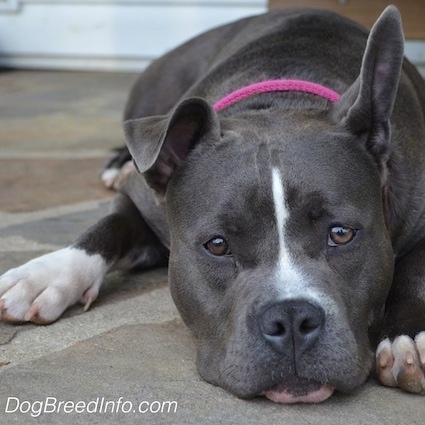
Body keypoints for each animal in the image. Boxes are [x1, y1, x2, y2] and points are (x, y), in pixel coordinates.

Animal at [0, 7, 424, 404]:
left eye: (342, 234)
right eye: (217, 245)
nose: (291, 317)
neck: (273, 102)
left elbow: (414, 272)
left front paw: (408, 335)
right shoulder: (140, 201)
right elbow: (108, 226)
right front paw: (46, 275)